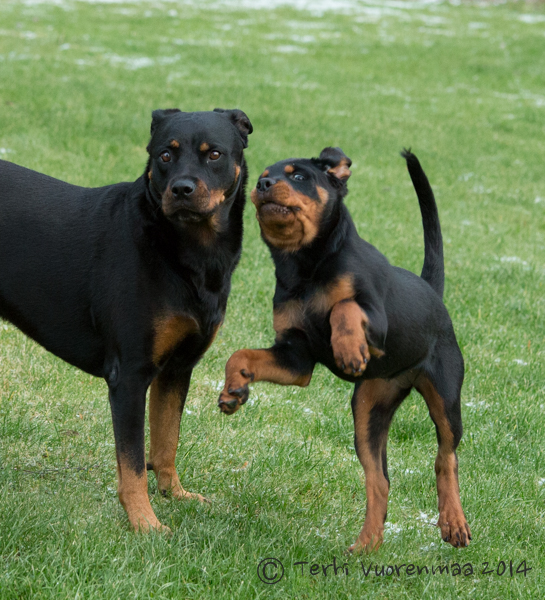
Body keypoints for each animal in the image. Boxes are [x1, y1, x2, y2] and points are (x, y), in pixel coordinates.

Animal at [0, 106, 253, 528]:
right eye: (164, 155)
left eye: (214, 154)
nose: (182, 189)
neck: (187, 253)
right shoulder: (130, 374)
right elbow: (132, 461)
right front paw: (145, 523)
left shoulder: (177, 369)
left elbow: (166, 441)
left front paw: (175, 495)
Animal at [219, 148, 470, 552]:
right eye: (261, 175)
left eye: (299, 176)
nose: (263, 184)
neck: (305, 266)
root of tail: (432, 292)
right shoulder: (296, 357)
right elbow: (241, 355)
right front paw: (233, 390)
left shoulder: (377, 322)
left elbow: (344, 307)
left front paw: (348, 349)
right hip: (368, 411)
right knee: (379, 481)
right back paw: (366, 545)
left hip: (446, 396)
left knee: (446, 457)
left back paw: (454, 523)